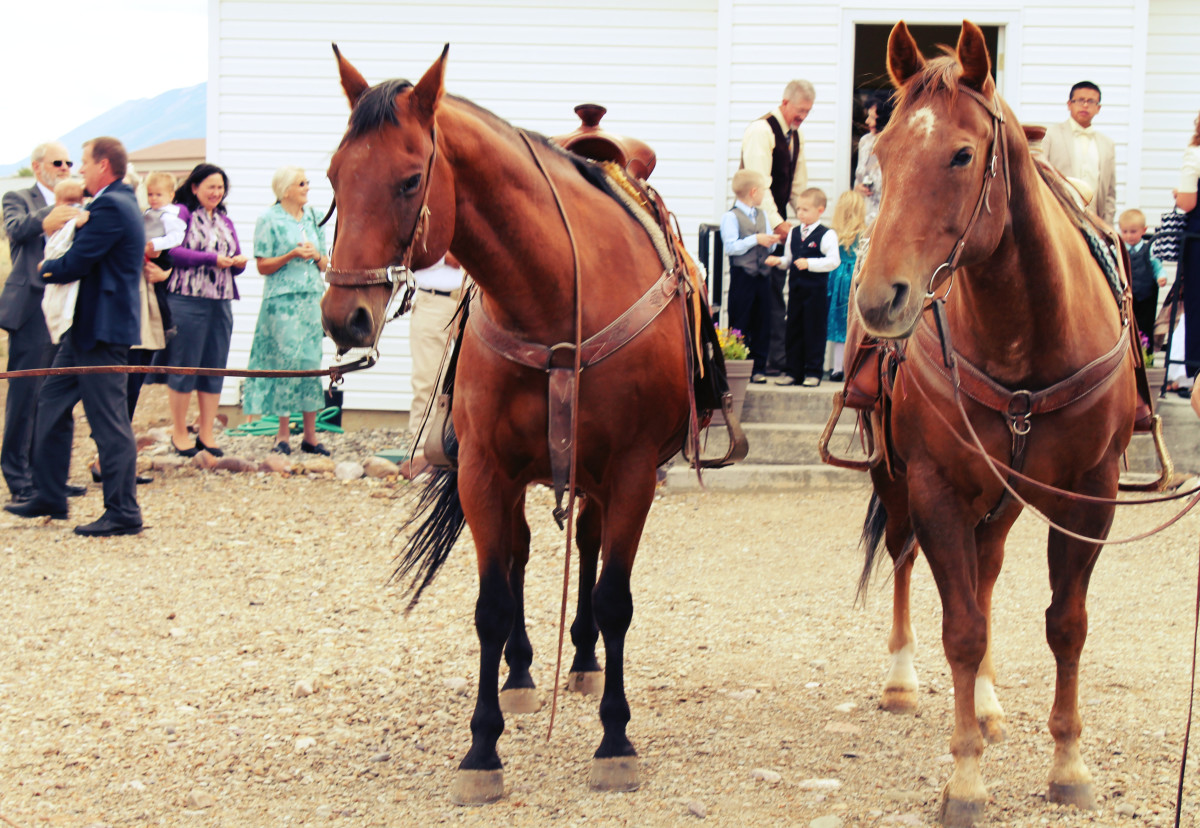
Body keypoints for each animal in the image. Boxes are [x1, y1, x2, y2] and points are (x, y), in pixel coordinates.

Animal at [319, 43, 700, 801]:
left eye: (410, 179)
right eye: (334, 177)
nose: (345, 317)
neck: (554, 297)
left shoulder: (633, 472)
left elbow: (614, 598)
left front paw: (616, 738)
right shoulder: (485, 471)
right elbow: (491, 603)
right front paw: (481, 748)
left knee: (587, 547)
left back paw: (581, 661)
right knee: (526, 553)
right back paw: (524, 672)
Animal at [854, 19, 1132, 825]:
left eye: (962, 153)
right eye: (882, 154)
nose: (880, 298)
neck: (1025, 339)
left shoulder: (1090, 496)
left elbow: (1065, 624)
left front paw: (1068, 763)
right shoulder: (937, 486)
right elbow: (963, 629)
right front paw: (967, 778)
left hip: (1004, 502)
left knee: (987, 569)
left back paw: (988, 703)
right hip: (898, 481)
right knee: (906, 557)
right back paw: (903, 680)